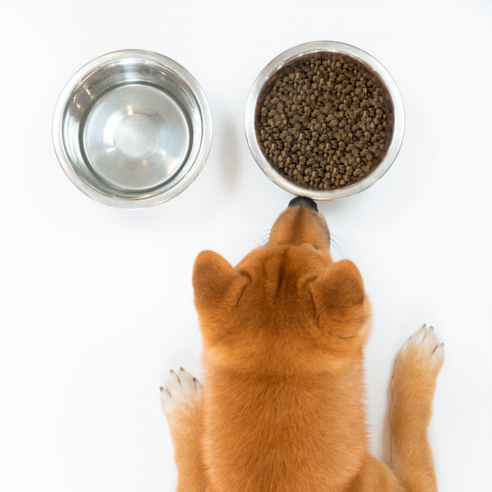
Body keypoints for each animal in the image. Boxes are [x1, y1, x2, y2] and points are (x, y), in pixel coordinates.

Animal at [160, 198, 442, 490]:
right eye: (314, 250)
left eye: (265, 245)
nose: (303, 201)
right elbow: (409, 427)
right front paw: (418, 362)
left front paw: (185, 404)